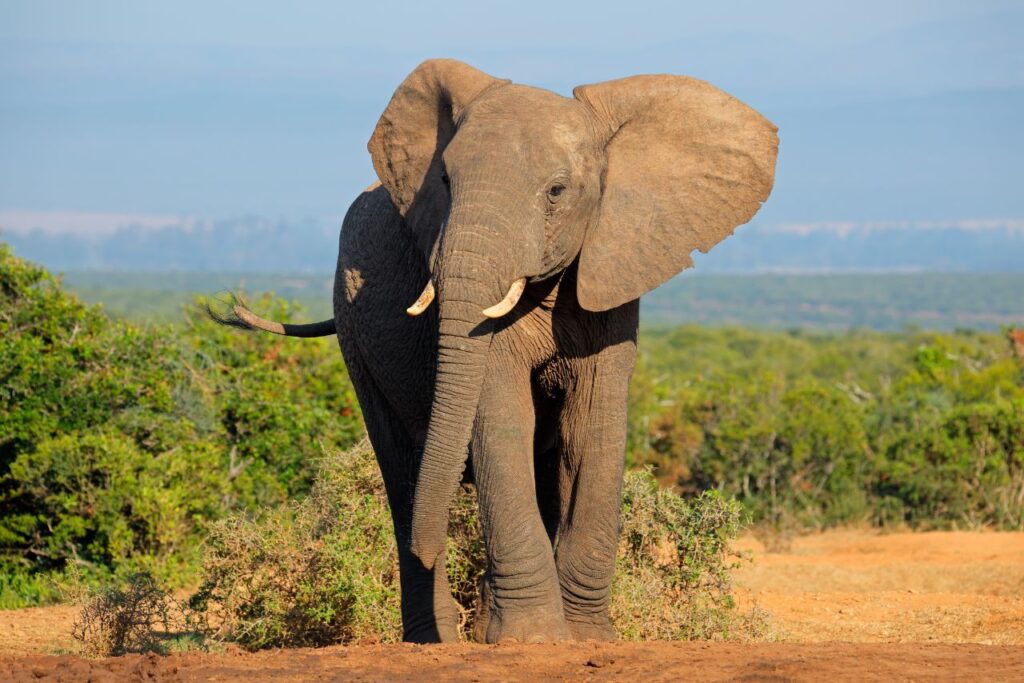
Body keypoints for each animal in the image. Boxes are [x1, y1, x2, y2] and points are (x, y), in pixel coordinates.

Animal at [214, 59, 777, 644]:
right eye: (443, 181)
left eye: (557, 191)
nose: (431, 544)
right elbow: (502, 416)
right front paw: (533, 640)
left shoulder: (613, 270)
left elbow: (592, 426)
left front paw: (585, 639)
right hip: (352, 326)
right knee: (401, 468)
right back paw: (434, 637)